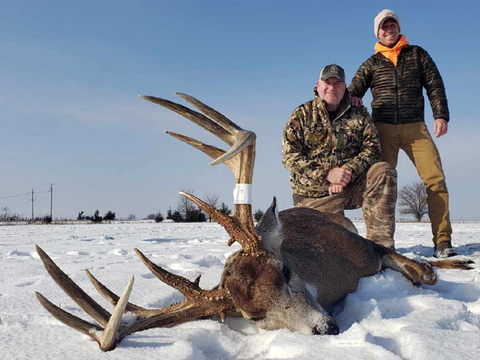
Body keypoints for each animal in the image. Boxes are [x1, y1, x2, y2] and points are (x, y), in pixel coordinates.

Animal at [34, 91, 472, 350]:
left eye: (285, 271)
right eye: (254, 316)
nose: (326, 329)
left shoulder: (364, 249)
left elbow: (424, 272)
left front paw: (447, 267)